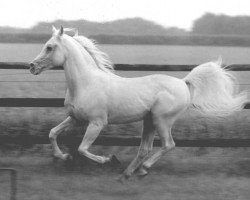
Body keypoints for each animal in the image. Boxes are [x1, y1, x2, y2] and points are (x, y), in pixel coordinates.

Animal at [29, 26, 248, 178]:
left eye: (49, 47)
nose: (31, 66)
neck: (86, 83)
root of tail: (184, 83)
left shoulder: (97, 123)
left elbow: (83, 149)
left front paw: (109, 159)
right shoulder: (75, 118)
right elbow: (52, 133)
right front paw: (63, 156)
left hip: (162, 120)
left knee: (169, 145)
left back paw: (142, 169)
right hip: (149, 120)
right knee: (145, 148)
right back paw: (129, 172)